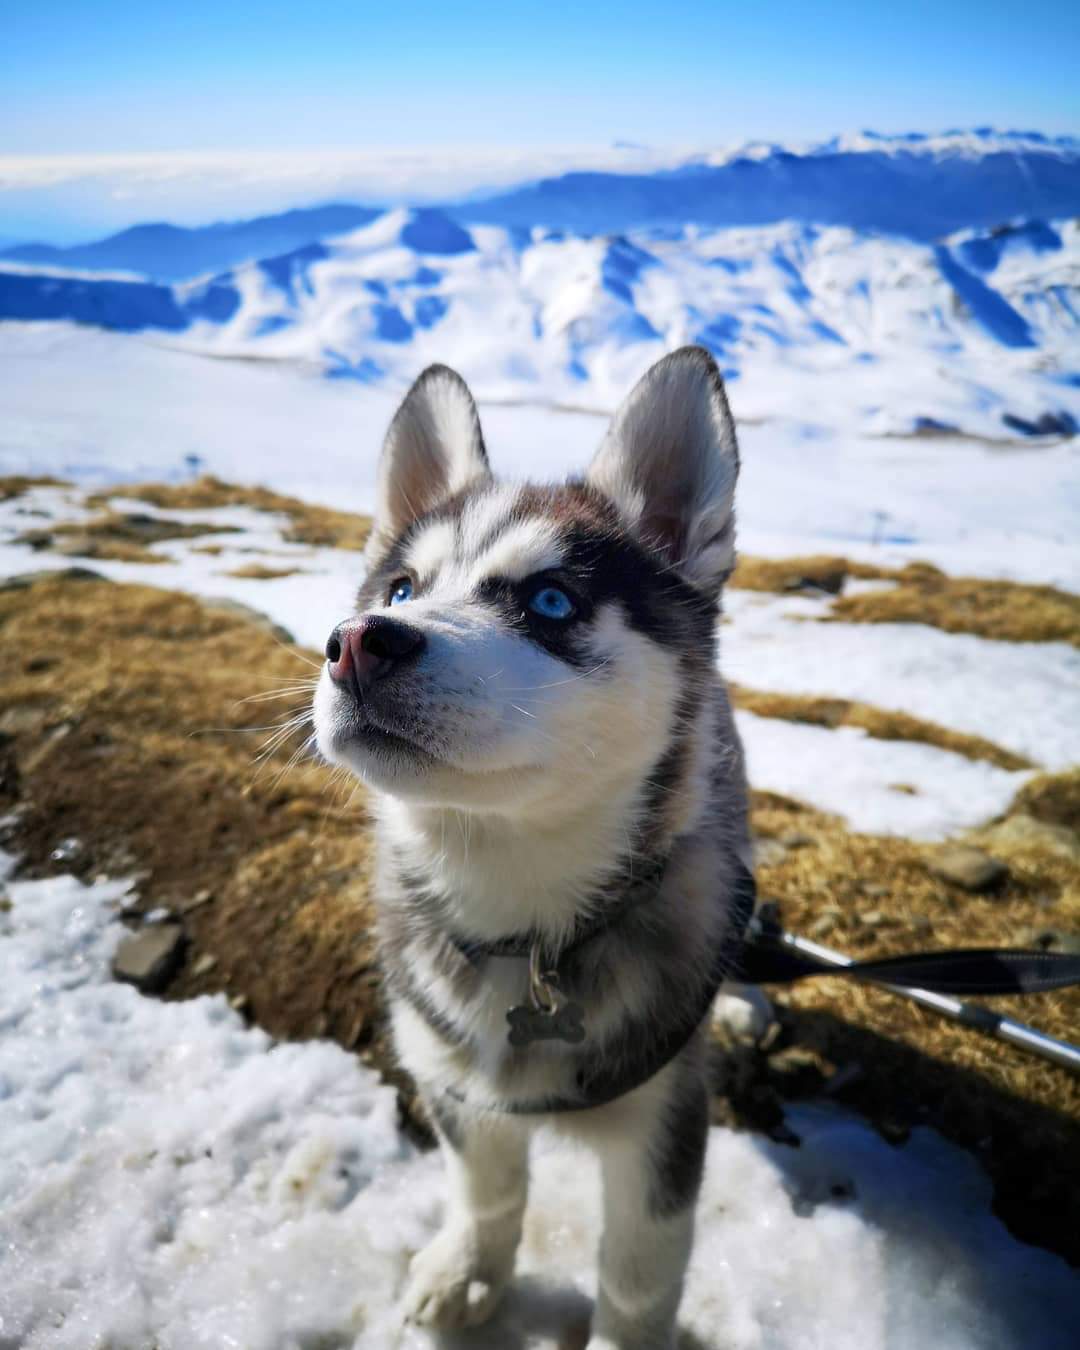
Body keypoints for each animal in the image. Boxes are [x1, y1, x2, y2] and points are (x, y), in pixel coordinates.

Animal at [311, 348, 750, 1350]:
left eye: (551, 600)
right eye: (401, 590)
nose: (355, 645)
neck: (523, 919)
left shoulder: (666, 1120)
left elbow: (636, 1278)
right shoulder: (450, 1078)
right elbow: (488, 1188)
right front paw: (470, 1272)